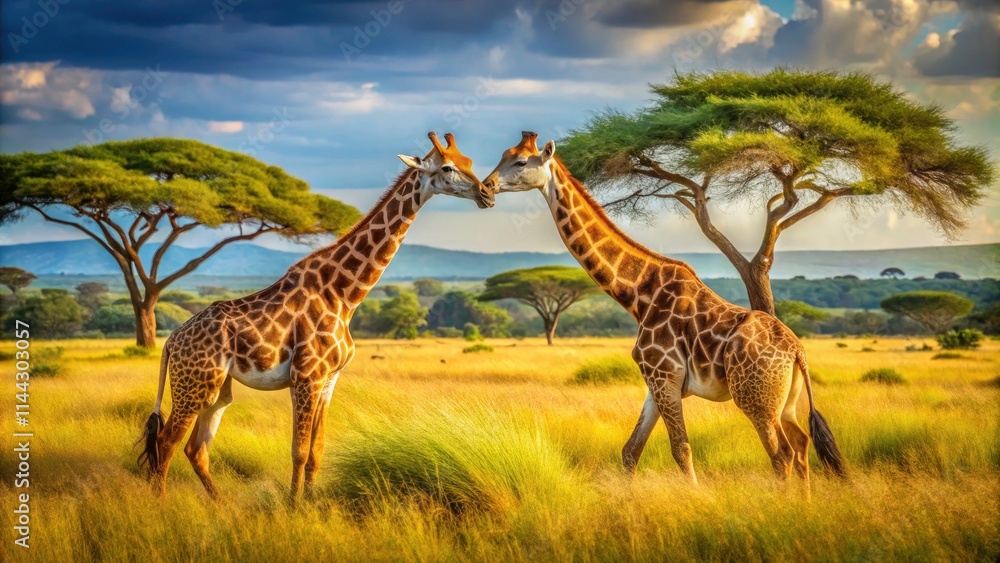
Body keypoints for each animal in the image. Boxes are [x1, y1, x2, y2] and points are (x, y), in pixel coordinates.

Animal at [137, 132, 493, 500]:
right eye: (447, 167)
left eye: (469, 162)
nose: (487, 193)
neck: (344, 296)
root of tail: (171, 341)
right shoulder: (306, 377)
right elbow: (299, 451)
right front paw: (294, 505)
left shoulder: (328, 380)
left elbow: (316, 451)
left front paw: (309, 501)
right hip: (193, 386)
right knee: (165, 442)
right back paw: (161, 503)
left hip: (217, 390)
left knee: (195, 448)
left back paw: (221, 504)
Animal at [483, 132, 844, 487]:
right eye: (503, 155)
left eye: (520, 161)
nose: (486, 188)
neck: (639, 296)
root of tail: (796, 351)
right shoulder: (657, 382)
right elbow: (631, 450)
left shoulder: (664, 376)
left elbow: (681, 449)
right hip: (785, 402)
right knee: (801, 445)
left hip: (757, 400)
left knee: (782, 454)